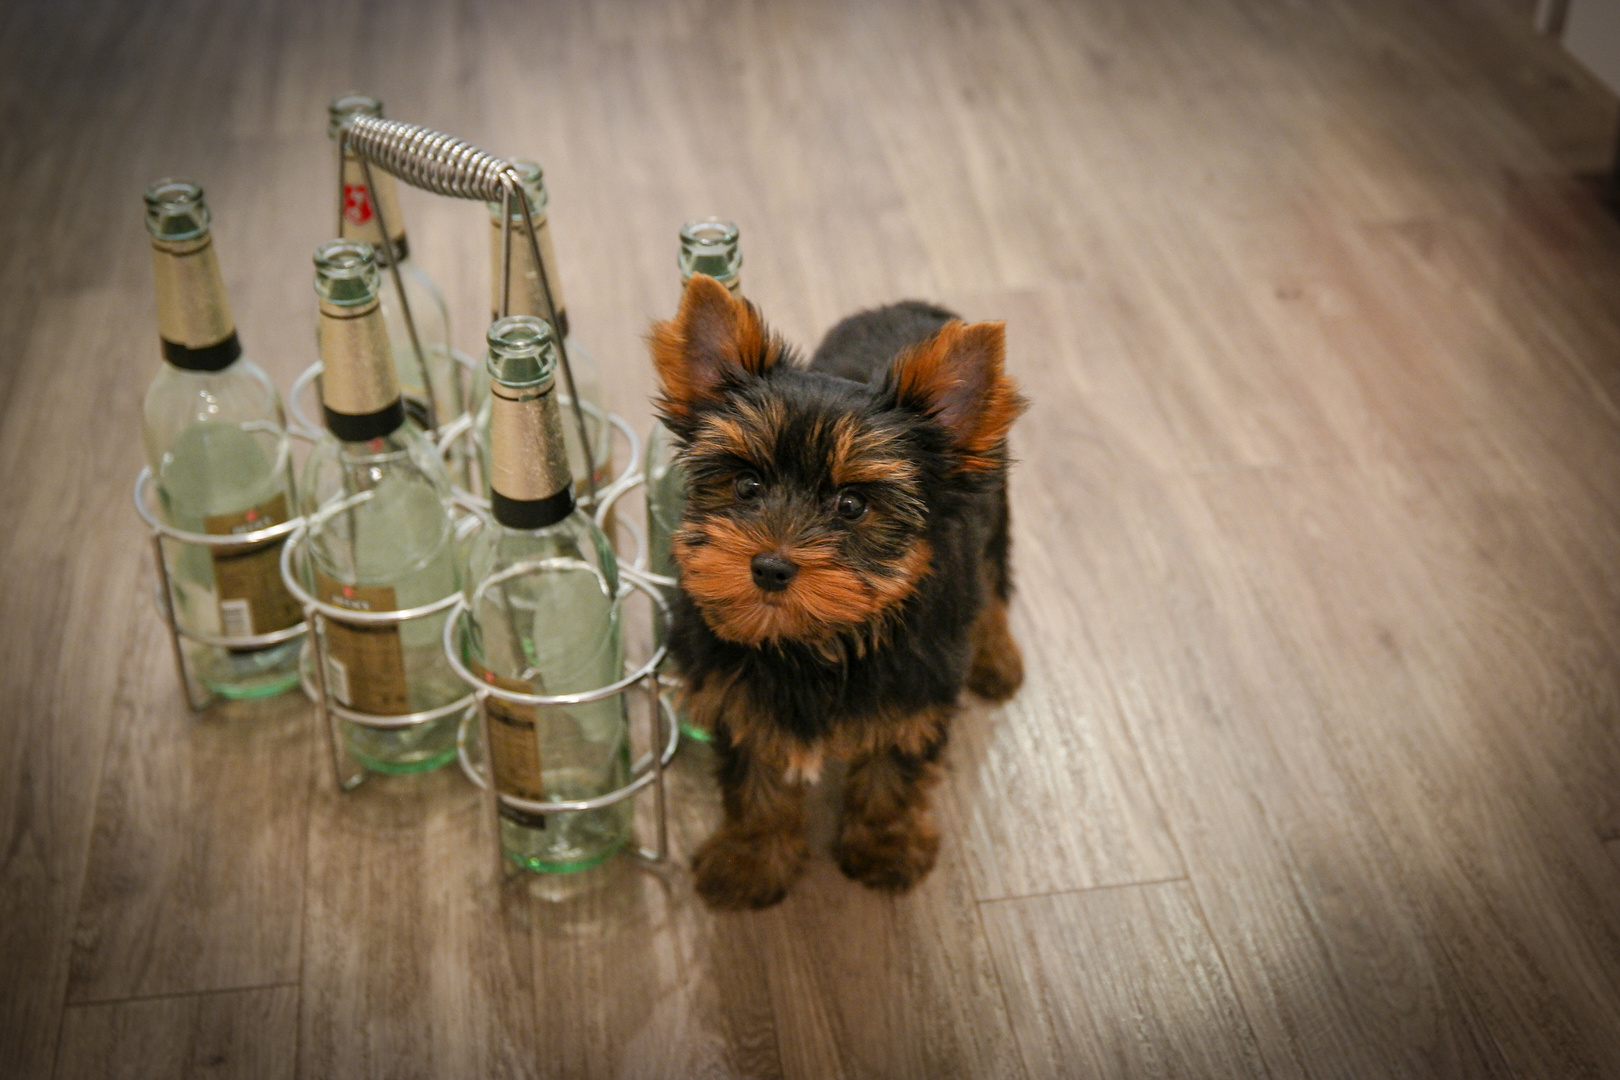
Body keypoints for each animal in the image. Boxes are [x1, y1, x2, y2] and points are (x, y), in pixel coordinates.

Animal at [648, 275, 1017, 906]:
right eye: (747, 486)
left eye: (852, 505)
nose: (770, 566)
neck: (812, 640)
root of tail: (915, 306)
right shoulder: (738, 692)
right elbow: (757, 777)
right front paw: (753, 858)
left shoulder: (913, 693)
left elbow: (892, 772)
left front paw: (883, 846)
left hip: (992, 507)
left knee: (992, 580)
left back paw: (995, 655)